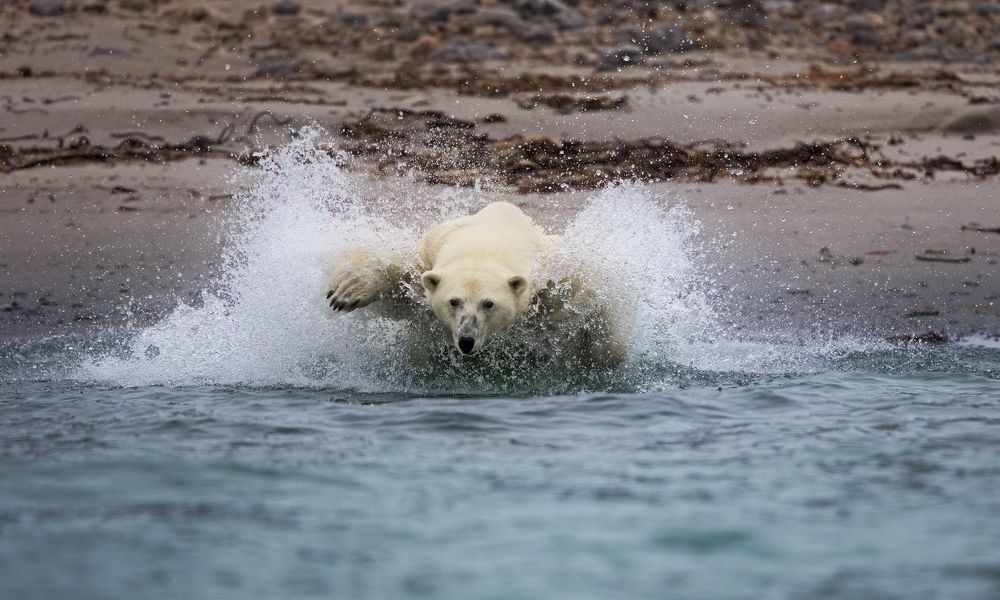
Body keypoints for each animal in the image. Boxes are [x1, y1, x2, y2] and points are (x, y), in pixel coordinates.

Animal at [324, 202, 625, 367]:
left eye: (488, 303)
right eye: (453, 301)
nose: (466, 340)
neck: (486, 243)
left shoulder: (548, 281)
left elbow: (585, 298)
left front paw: (603, 354)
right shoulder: (426, 260)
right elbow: (399, 281)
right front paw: (346, 292)